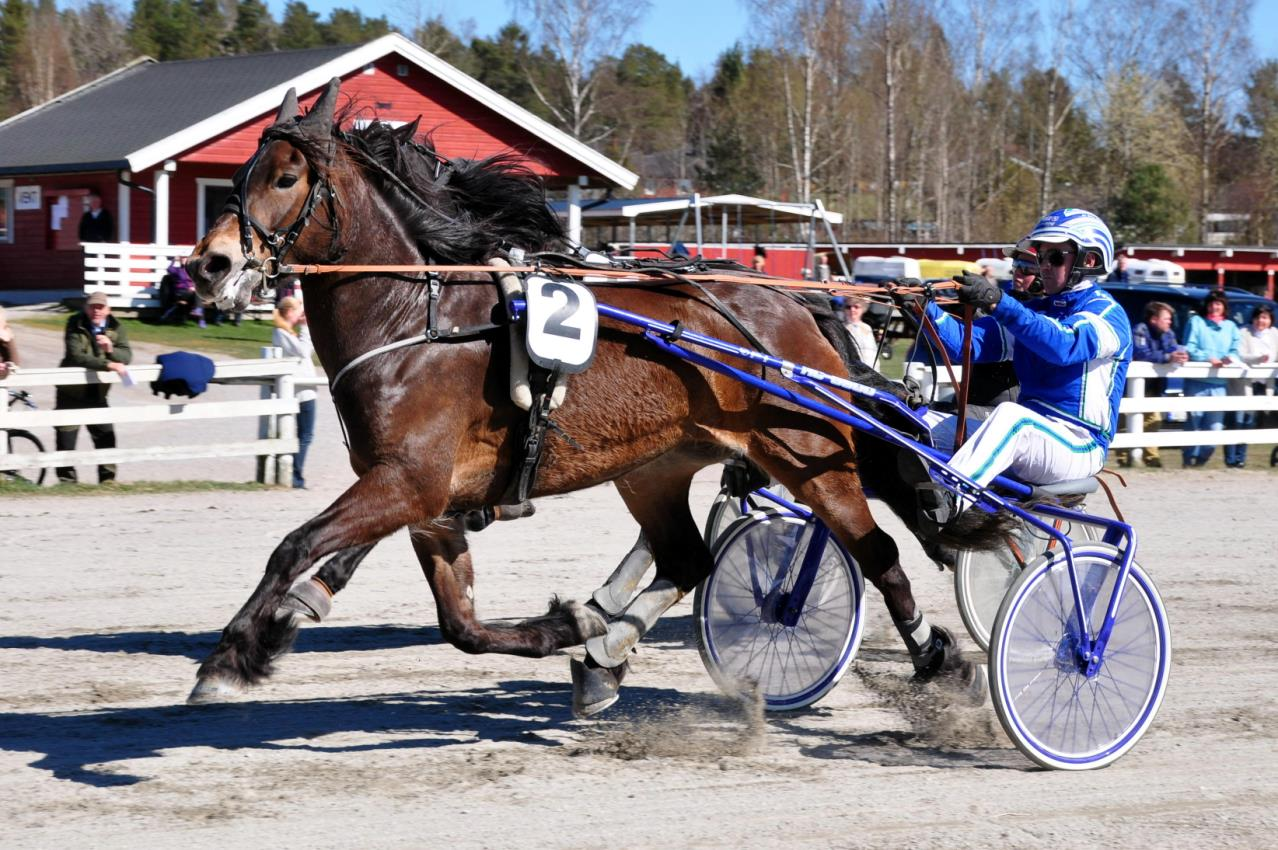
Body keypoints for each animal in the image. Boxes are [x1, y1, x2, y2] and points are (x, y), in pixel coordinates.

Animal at [185, 81, 991, 710]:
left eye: (286, 178)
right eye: (240, 174)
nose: (209, 264)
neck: (415, 321)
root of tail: (795, 303)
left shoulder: (408, 482)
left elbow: (293, 547)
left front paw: (233, 656)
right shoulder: (427, 502)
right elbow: (460, 624)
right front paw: (570, 627)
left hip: (805, 451)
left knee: (878, 550)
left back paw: (940, 657)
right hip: (656, 466)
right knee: (687, 560)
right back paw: (604, 658)